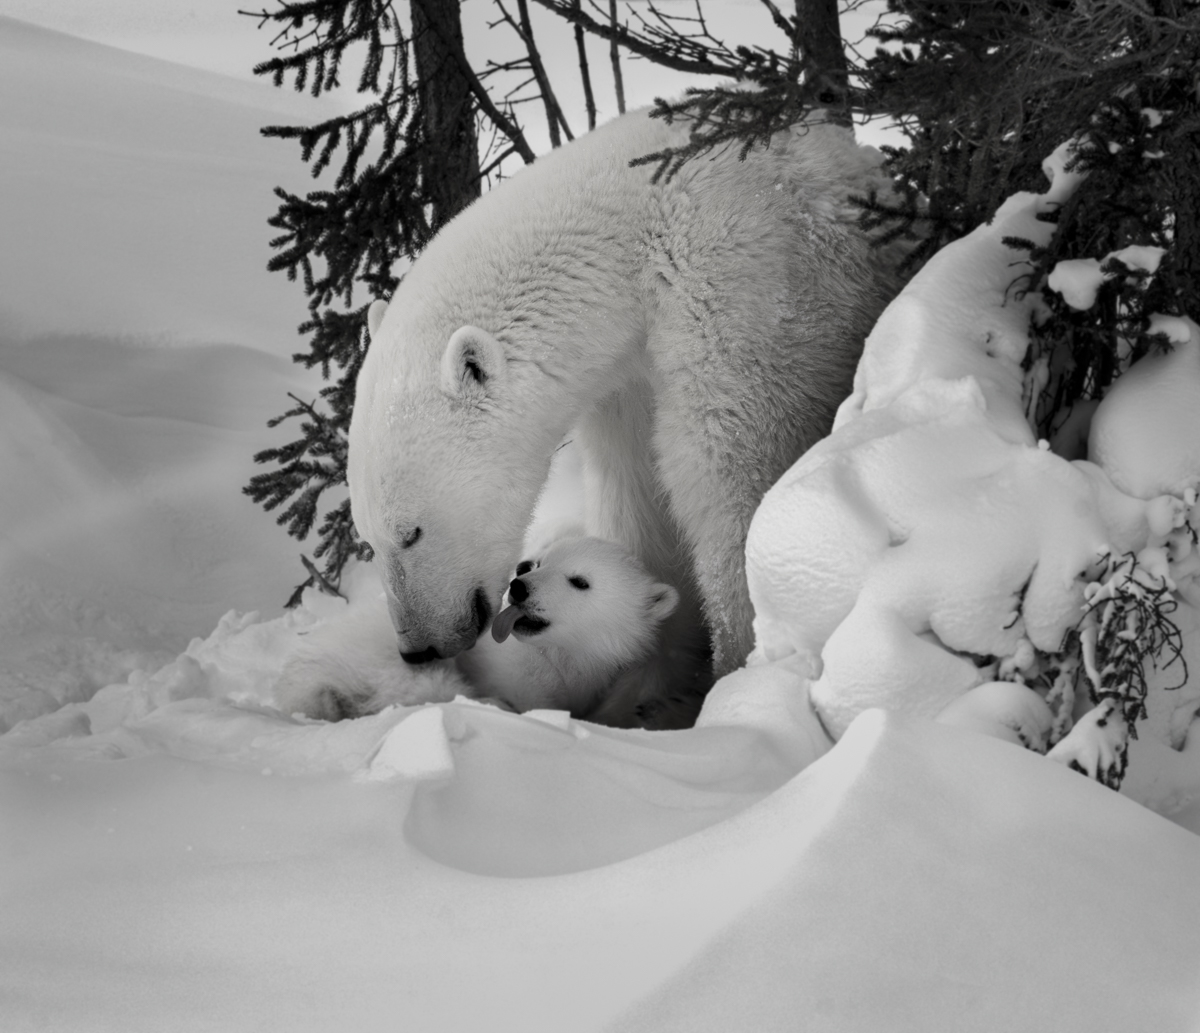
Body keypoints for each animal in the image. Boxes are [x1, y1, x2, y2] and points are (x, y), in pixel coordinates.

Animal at [347, 104, 907, 707]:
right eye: (367, 536)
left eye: (411, 531)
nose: (417, 648)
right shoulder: (627, 380)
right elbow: (640, 493)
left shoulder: (748, 299)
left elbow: (737, 477)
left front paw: (732, 671)